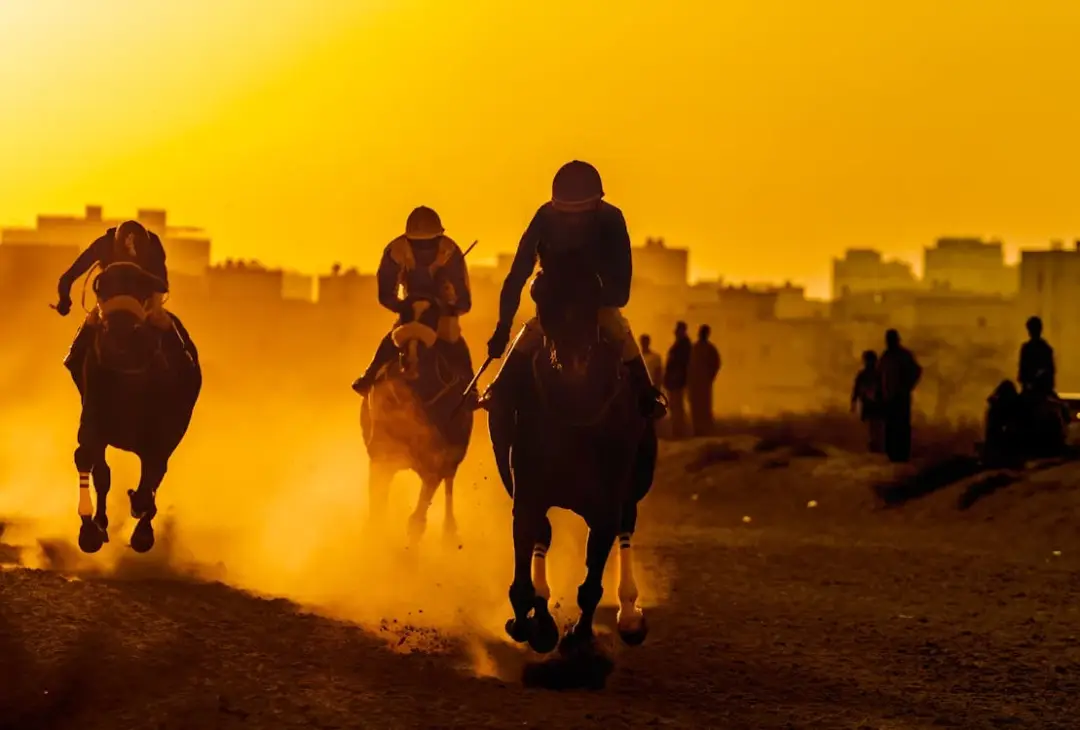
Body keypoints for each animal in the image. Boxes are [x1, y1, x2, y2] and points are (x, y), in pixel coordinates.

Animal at [72, 262, 201, 552]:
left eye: (143, 287)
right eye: (101, 287)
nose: (119, 330)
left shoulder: (165, 429)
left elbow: (153, 474)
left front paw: (142, 529)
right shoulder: (95, 411)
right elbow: (89, 459)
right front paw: (90, 531)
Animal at [360, 295, 475, 542]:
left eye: (432, 318)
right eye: (403, 315)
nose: (410, 360)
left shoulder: (436, 462)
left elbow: (417, 519)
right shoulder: (381, 456)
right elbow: (378, 510)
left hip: (454, 457)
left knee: (449, 484)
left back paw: (450, 532)